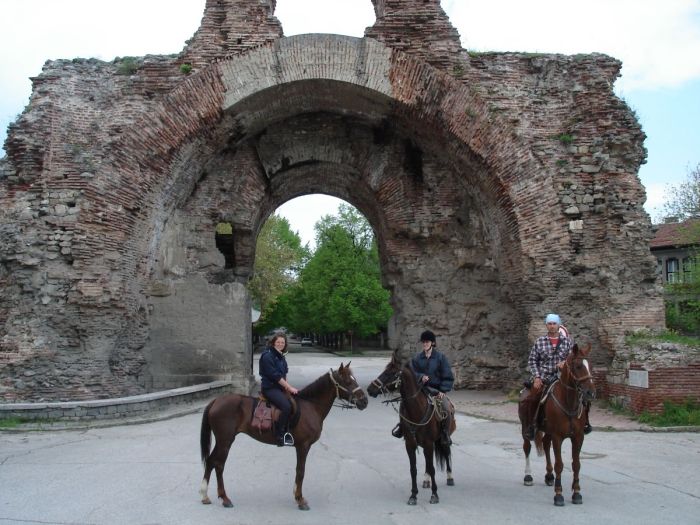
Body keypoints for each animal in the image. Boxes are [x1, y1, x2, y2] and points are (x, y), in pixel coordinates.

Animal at [200, 362, 370, 510]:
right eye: (348, 381)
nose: (364, 401)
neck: (310, 405)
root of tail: (216, 401)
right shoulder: (303, 446)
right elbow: (301, 471)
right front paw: (300, 499)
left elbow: (299, 471)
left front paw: (297, 495)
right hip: (225, 440)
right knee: (218, 464)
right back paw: (224, 498)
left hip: (223, 441)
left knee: (211, 461)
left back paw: (205, 495)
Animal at [364, 350, 456, 506]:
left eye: (390, 373)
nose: (370, 389)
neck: (417, 410)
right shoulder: (410, 444)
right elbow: (413, 469)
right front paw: (413, 495)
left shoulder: (428, 444)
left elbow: (432, 468)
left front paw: (434, 495)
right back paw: (426, 480)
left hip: (442, 439)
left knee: (446, 452)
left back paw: (450, 477)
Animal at [516, 342, 592, 506]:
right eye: (578, 366)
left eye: (590, 365)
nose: (590, 392)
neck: (568, 402)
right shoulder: (558, 436)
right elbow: (559, 465)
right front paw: (558, 495)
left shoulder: (578, 437)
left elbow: (576, 464)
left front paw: (577, 493)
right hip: (526, 428)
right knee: (527, 447)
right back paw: (528, 476)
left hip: (548, 430)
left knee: (545, 443)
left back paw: (549, 476)